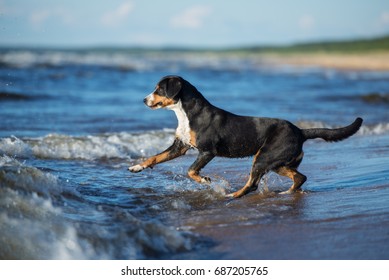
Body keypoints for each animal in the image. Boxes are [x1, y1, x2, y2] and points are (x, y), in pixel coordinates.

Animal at [129, 74, 362, 197]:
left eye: (159, 89)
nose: (143, 100)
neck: (187, 113)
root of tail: (300, 131)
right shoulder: (180, 146)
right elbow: (155, 157)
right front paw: (137, 166)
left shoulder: (207, 151)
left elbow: (191, 171)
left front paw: (205, 180)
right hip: (277, 162)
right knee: (300, 177)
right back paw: (287, 193)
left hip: (264, 157)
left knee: (253, 183)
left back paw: (232, 195)